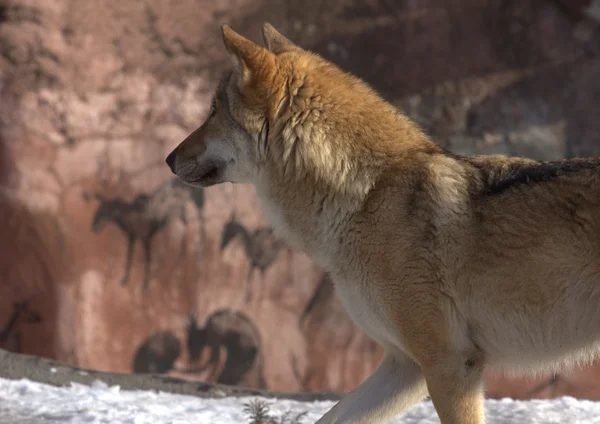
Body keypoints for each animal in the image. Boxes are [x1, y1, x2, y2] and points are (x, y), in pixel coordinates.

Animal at [165, 24, 600, 424]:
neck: (367, 194)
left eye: (213, 112)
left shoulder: (450, 364)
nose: (168, 159)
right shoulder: (404, 366)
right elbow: (331, 418)